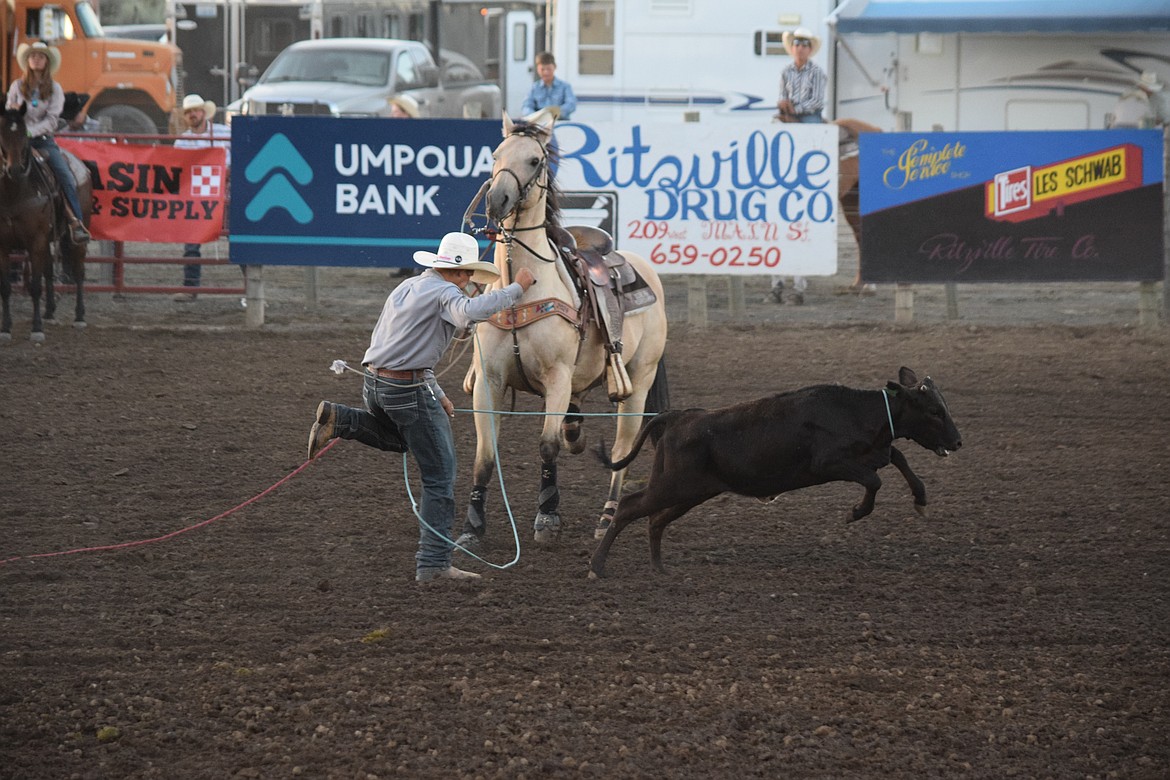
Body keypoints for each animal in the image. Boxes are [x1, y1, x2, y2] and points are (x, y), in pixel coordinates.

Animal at [0, 102, 90, 341]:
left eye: (24, 134)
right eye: (1, 134)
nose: (14, 169)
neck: (13, 193)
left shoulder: (35, 241)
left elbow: (34, 285)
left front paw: (37, 328)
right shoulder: (4, 246)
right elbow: (6, 286)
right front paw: (5, 328)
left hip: (76, 237)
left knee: (78, 271)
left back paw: (79, 316)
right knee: (50, 270)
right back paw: (50, 312)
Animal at [456, 114, 669, 549]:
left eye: (535, 160)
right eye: (496, 155)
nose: (497, 200)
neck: (521, 288)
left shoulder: (556, 378)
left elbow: (547, 446)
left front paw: (547, 517)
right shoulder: (489, 381)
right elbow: (485, 456)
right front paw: (472, 527)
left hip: (638, 380)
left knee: (621, 447)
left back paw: (607, 517)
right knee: (576, 421)